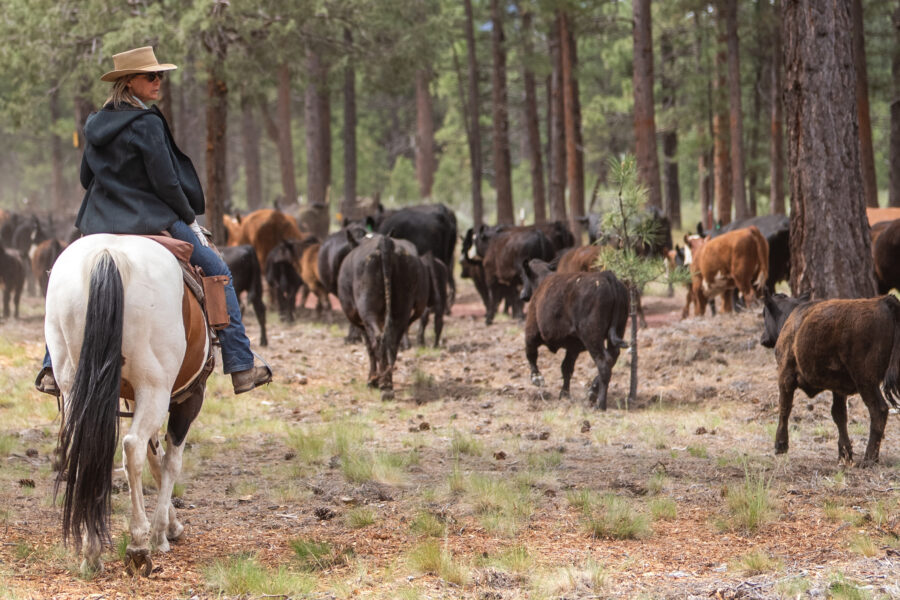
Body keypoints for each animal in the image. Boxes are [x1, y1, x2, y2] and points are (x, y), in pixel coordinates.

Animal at [337, 233, 428, 399]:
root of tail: (385, 242)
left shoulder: (360, 322)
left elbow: (369, 348)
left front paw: (372, 380)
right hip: (402, 309)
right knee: (392, 341)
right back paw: (387, 383)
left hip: (367, 311)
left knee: (378, 340)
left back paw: (382, 384)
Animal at [520, 259, 628, 410]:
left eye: (524, 276)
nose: (522, 295)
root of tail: (606, 276)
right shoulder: (573, 348)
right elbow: (567, 368)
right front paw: (564, 394)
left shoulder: (531, 332)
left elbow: (531, 354)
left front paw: (537, 378)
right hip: (617, 331)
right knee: (613, 357)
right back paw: (592, 391)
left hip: (592, 336)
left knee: (604, 362)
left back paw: (600, 404)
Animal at [761, 292, 900, 466]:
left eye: (764, 313)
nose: (763, 338)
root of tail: (885, 301)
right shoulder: (838, 389)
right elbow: (839, 415)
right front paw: (845, 453)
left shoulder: (785, 375)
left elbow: (784, 408)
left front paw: (780, 445)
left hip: (866, 381)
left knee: (879, 410)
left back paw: (869, 459)